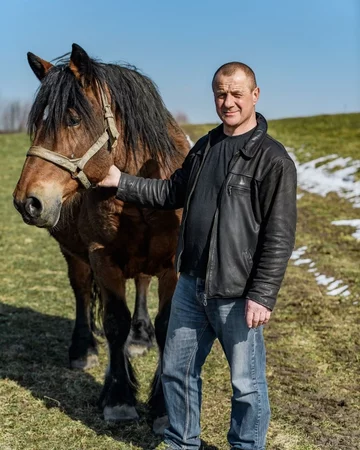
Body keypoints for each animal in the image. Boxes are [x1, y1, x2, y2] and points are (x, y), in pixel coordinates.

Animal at [12, 43, 190, 432]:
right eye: (37, 123)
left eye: (73, 119)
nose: (27, 201)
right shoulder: (102, 258)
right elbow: (113, 323)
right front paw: (119, 399)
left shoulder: (172, 263)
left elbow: (166, 325)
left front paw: (163, 406)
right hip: (73, 254)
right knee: (81, 291)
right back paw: (84, 350)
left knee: (141, 283)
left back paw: (140, 337)